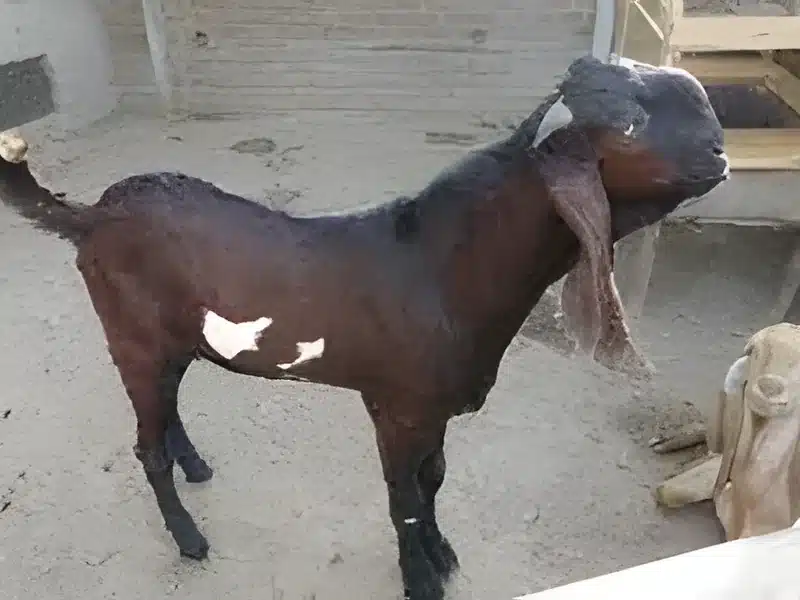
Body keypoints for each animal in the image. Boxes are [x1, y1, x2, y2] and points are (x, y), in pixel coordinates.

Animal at [0, 55, 729, 600]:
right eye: (630, 121)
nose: (721, 149)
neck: (438, 267)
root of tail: (92, 217)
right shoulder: (395, 406)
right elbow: (404, 493)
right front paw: (420, 579)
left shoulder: (433, 408)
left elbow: (434, 478)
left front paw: (443, 553)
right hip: (132, 338)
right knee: (145, 445)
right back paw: (188, 537)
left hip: (172, 341)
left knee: (168, 408)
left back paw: (196, 466)